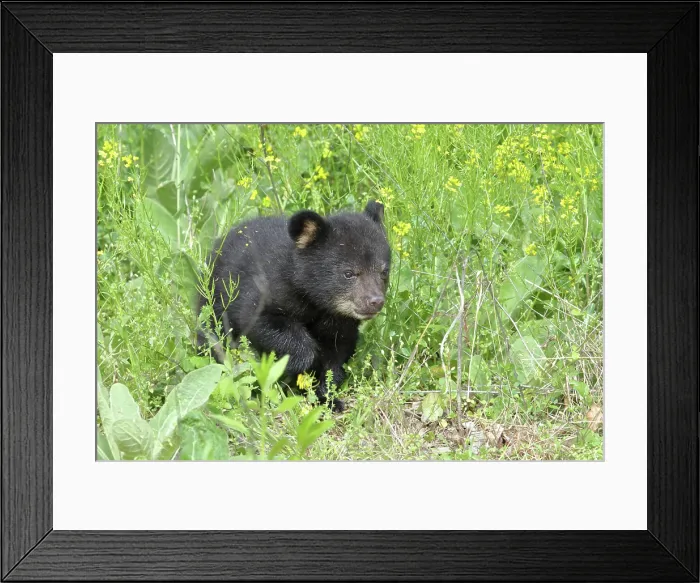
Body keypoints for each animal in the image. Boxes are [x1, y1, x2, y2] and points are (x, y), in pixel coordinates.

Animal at [197, 201, 390, 412]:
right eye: (348, 273)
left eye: (384, 271)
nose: (375, 301)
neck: (316, 301)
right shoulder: (265, 291)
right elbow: (260, 322)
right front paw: (292, 367)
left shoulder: (340, 322)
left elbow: (336, 354)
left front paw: (327, 397)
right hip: (212, 303)